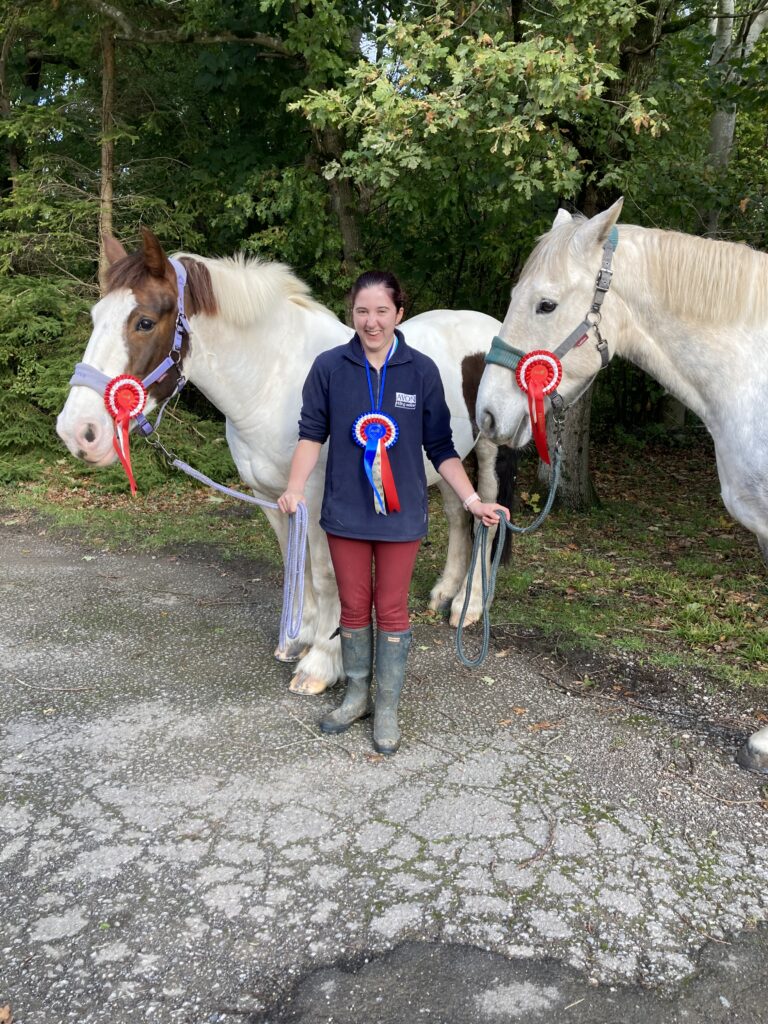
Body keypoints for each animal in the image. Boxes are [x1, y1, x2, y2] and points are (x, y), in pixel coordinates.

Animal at [57, 233, 507, 696]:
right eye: (95, 317)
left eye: (144, 322)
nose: (78, 432)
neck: (274, 384)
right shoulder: (272, 497)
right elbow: (298, 566)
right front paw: (297, 638)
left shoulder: (320, 500)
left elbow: (327, 576)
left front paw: (322, 662)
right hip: (444, 456)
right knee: (457, 514)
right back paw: (444, 594)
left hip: (488, 451)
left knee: (487, 515)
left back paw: (470, 605)